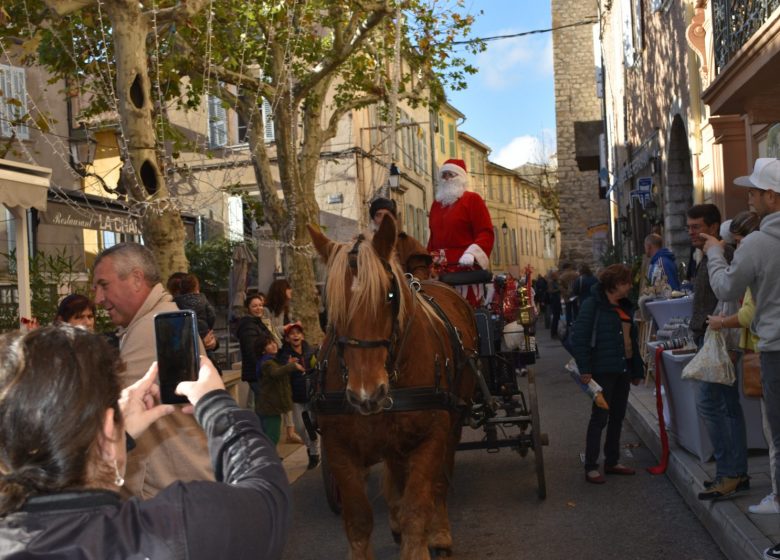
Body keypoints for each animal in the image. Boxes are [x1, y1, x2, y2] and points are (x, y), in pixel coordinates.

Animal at [308, 215, 478, 560]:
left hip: (451, 425)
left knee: (439, 482)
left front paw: (424, 541)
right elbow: (358, 518)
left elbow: (419, 505)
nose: (367, 394)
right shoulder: (338, 447)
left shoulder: (431, 438)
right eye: (329, 305)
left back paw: (439, 533)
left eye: (389, 295)